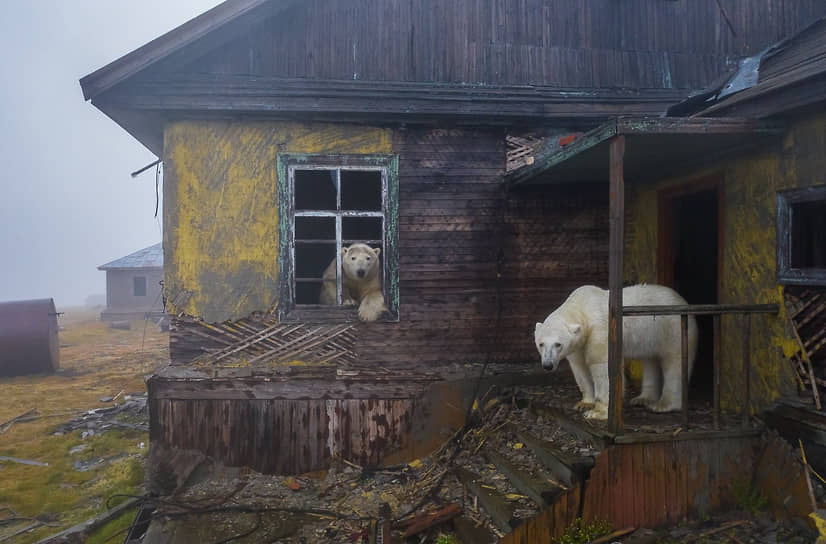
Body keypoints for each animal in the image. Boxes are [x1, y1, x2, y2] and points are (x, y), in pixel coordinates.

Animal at [536, 284, 696, 420]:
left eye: (558, 344)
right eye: (541, 344)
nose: (548, 365)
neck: (582, 307)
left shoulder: (600, 331)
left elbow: (602, 366)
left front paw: (597, 412)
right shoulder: (578, 344)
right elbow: (579, 367)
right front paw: (584, 403)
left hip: (672, 328)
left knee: (674, 362)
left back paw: (663, 405)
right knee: (650, 360)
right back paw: (643, 399)